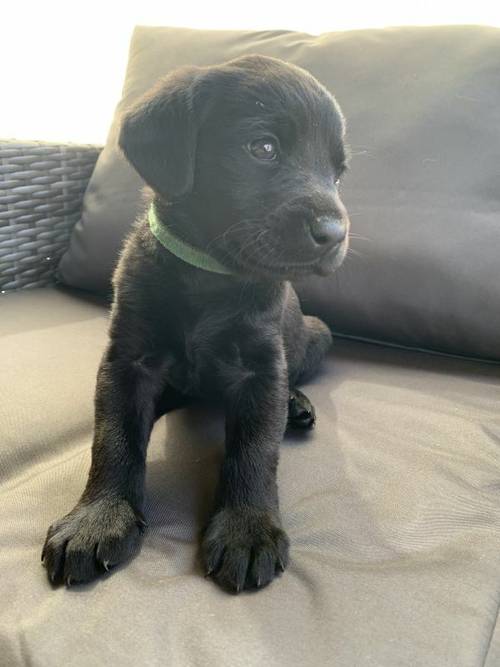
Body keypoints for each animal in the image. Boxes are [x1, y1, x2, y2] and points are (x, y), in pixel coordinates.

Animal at [42, 54, 348, 592]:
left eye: (338, 174)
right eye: (263, 147)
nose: (335, 233)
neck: (209, 276)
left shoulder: (259, 367)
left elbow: (255, 450)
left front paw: (248, 528)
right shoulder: (128, 362)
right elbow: (113, 438)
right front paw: (98, 518)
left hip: (316, 335)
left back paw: (295, 404)